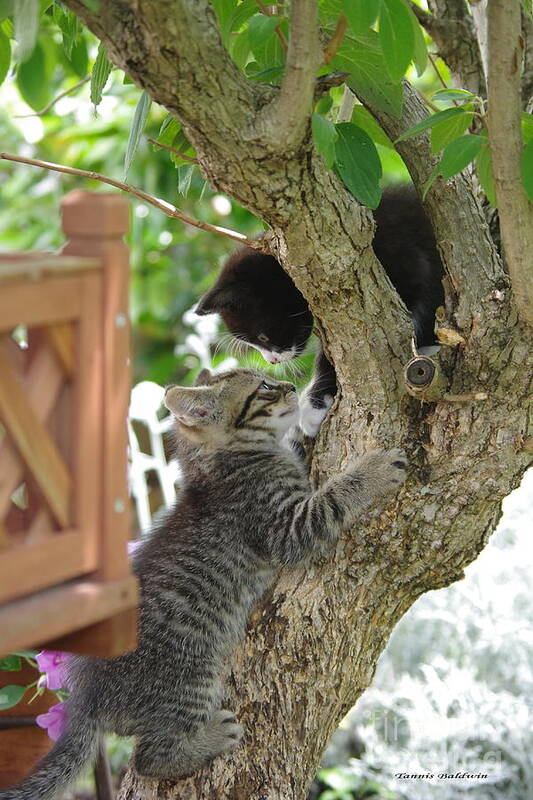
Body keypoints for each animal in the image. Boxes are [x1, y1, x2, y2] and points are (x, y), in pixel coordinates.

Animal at [1, 370, 408, 800]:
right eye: (263, 389)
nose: (290, 387)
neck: (230, 461)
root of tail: (89, 696)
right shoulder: (286, 526)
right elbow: (332, 499)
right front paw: (374, 469)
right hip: (192, 679)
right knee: (149, 758)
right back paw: (210, 738)